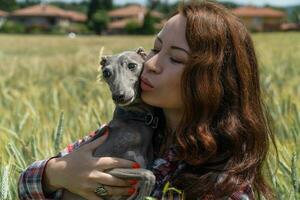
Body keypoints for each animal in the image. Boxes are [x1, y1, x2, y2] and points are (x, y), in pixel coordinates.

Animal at [62, 47, 158, 199]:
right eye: (106, 72)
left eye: (132, 65)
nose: (118, 96)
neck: (134, 119)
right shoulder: (97, 169)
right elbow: (148, 174)